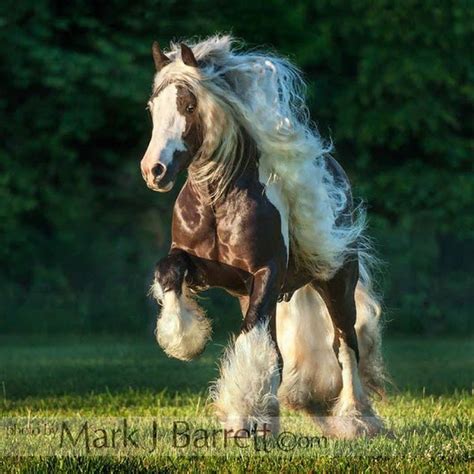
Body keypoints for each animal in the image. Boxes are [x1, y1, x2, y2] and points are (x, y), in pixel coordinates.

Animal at [141, 35, 386, 438]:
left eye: (189, 105)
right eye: (152, 108)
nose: (154, 171)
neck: (217, 204)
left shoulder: (267, 273)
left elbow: (252, 336)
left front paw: (243, 416)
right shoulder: (207, 269)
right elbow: (168, 271)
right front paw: (183, 340)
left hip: (336, 282)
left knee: (345, 344)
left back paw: (357, 419)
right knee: (282, 353)